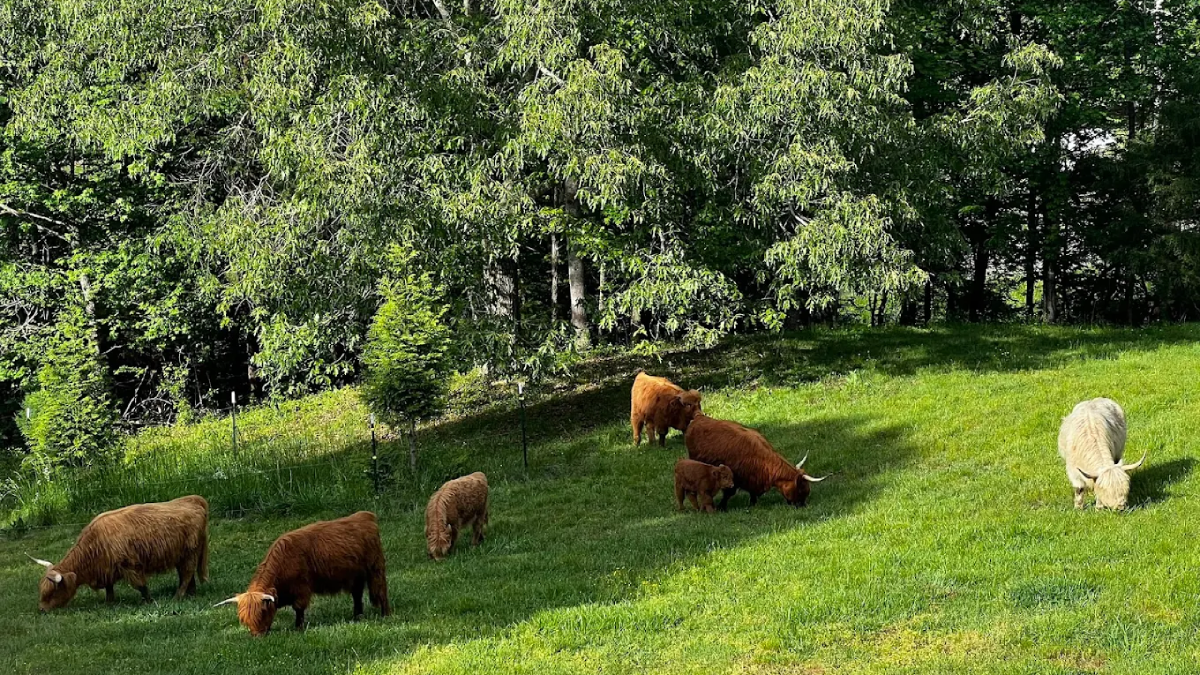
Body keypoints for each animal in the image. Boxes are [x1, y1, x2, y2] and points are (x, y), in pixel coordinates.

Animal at [29, 495, 209, 612]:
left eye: (52, 592)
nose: (42, 609)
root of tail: (194, 499)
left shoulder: (130, 566)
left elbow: (141, 585)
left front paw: (149, 601)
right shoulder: (107, 569)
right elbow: (109, 588)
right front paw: (109, 603)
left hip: (190, 553)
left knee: (187, 574)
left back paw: (178, 596)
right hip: (181, 555)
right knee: (187, 575)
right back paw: (191, 594)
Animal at [215, 511, 390, 635]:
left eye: (262, 613)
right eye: (244, 619)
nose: (257, 636)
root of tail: (366, 516)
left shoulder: (301, 588)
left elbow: (298, 608)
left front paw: (298, 628)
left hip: (375, 568)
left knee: (381, 590)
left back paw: (386, 615)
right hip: (356, 576)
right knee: (357, 595)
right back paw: (357, 616)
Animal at [685, 414, 827, 508]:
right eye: (801, 490)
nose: (802, 505)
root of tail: (699, 417)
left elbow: (752, 494)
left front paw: (752, 504)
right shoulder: (733, 478)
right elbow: (729, 493)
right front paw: (721, 507)